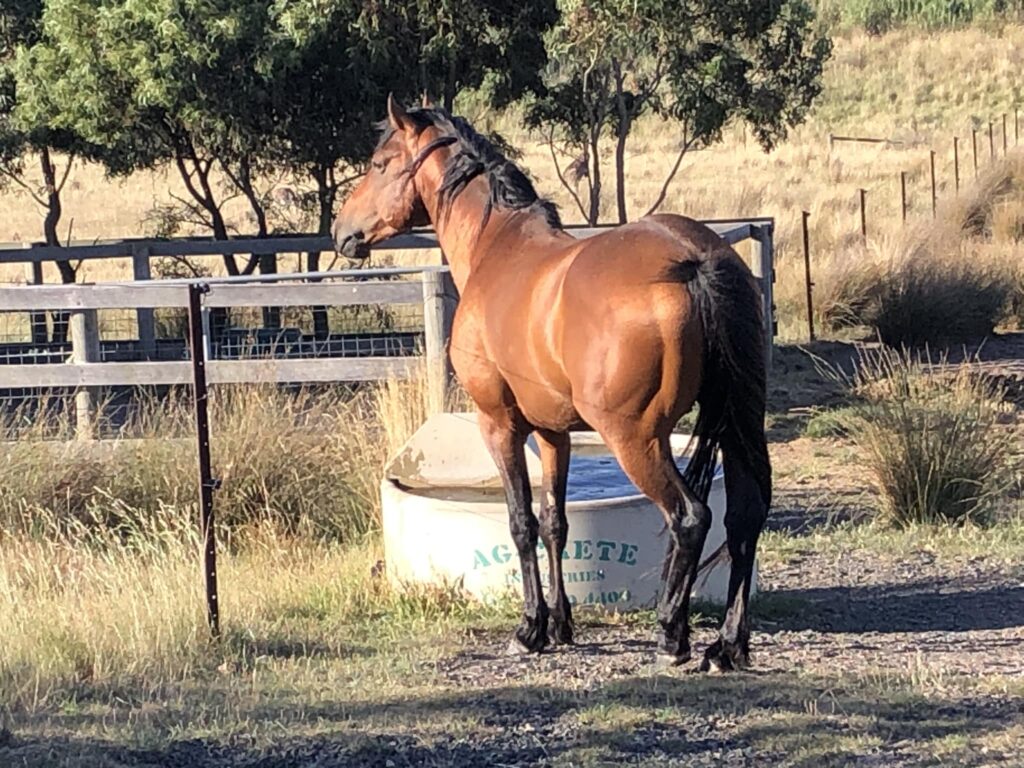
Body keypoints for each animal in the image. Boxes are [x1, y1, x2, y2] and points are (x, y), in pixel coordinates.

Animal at [333, 96, 771, 671]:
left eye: (380, 163)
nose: (343, 231)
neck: (497, 249)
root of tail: (694, 259)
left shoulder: (499, 425)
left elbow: (522, 524)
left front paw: (530, 628)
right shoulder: (553, 432)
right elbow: (555, 522)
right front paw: (561, 623)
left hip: (636, 440)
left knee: (691, 517)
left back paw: (671, 634)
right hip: (739, 425)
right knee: (745, 519)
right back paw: (728, 644)